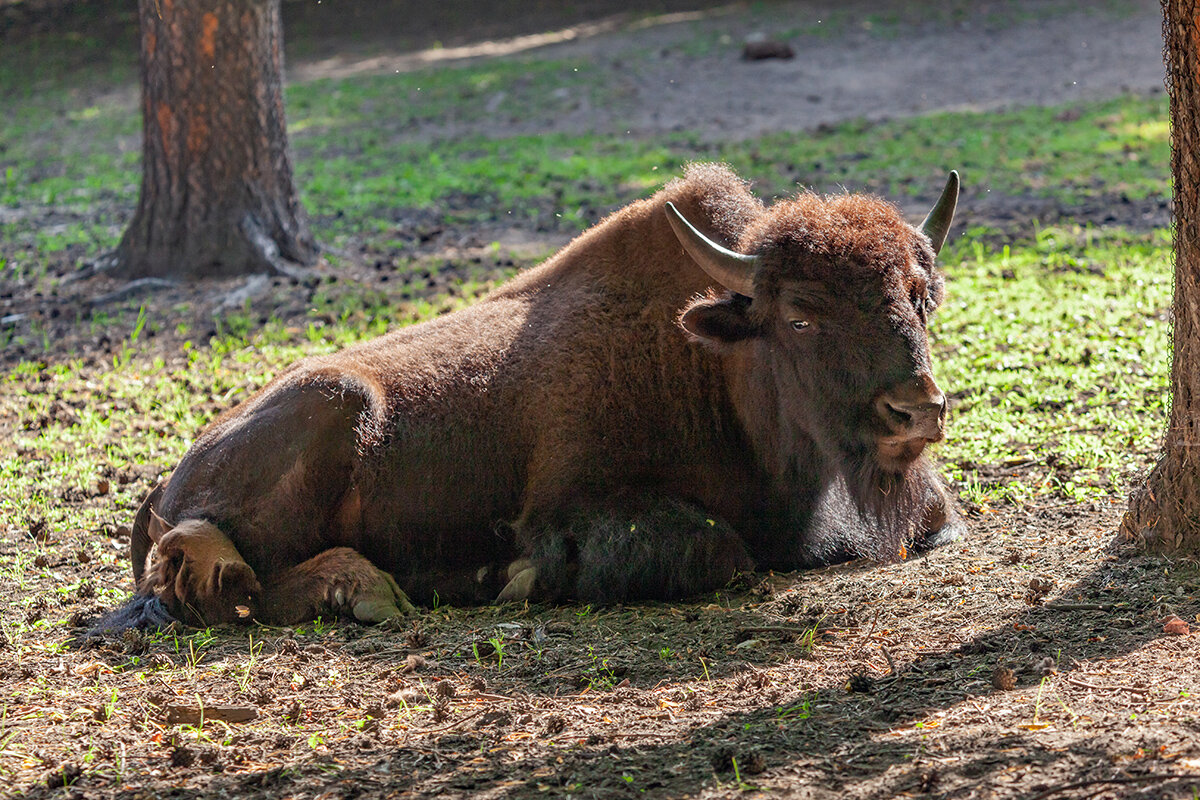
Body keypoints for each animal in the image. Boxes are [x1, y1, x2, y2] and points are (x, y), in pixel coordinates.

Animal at [103, 160, 964, 623]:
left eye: (921, 296)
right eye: (800, 315)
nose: (915, 411)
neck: (719, 367)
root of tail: (169, 479)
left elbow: (939, 524)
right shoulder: (569, 500)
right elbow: (717, 548)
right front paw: (515, 577)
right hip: (335, 404)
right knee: (220, 578)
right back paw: (369, 591)